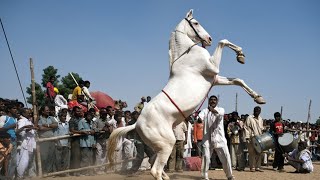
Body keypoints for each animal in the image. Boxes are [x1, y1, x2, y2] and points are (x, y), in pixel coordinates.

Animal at [107, 9, 264, 180]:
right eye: (195, 23)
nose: (209, 39)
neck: (187, 54)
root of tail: (136, 124)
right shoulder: (213, 67)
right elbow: (223, 42)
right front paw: (240, 54)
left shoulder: (214, 78)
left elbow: (238, 80)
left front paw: (258, 97)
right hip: (167, 144)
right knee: (155, 170)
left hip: (157, 147)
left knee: (154, 163)